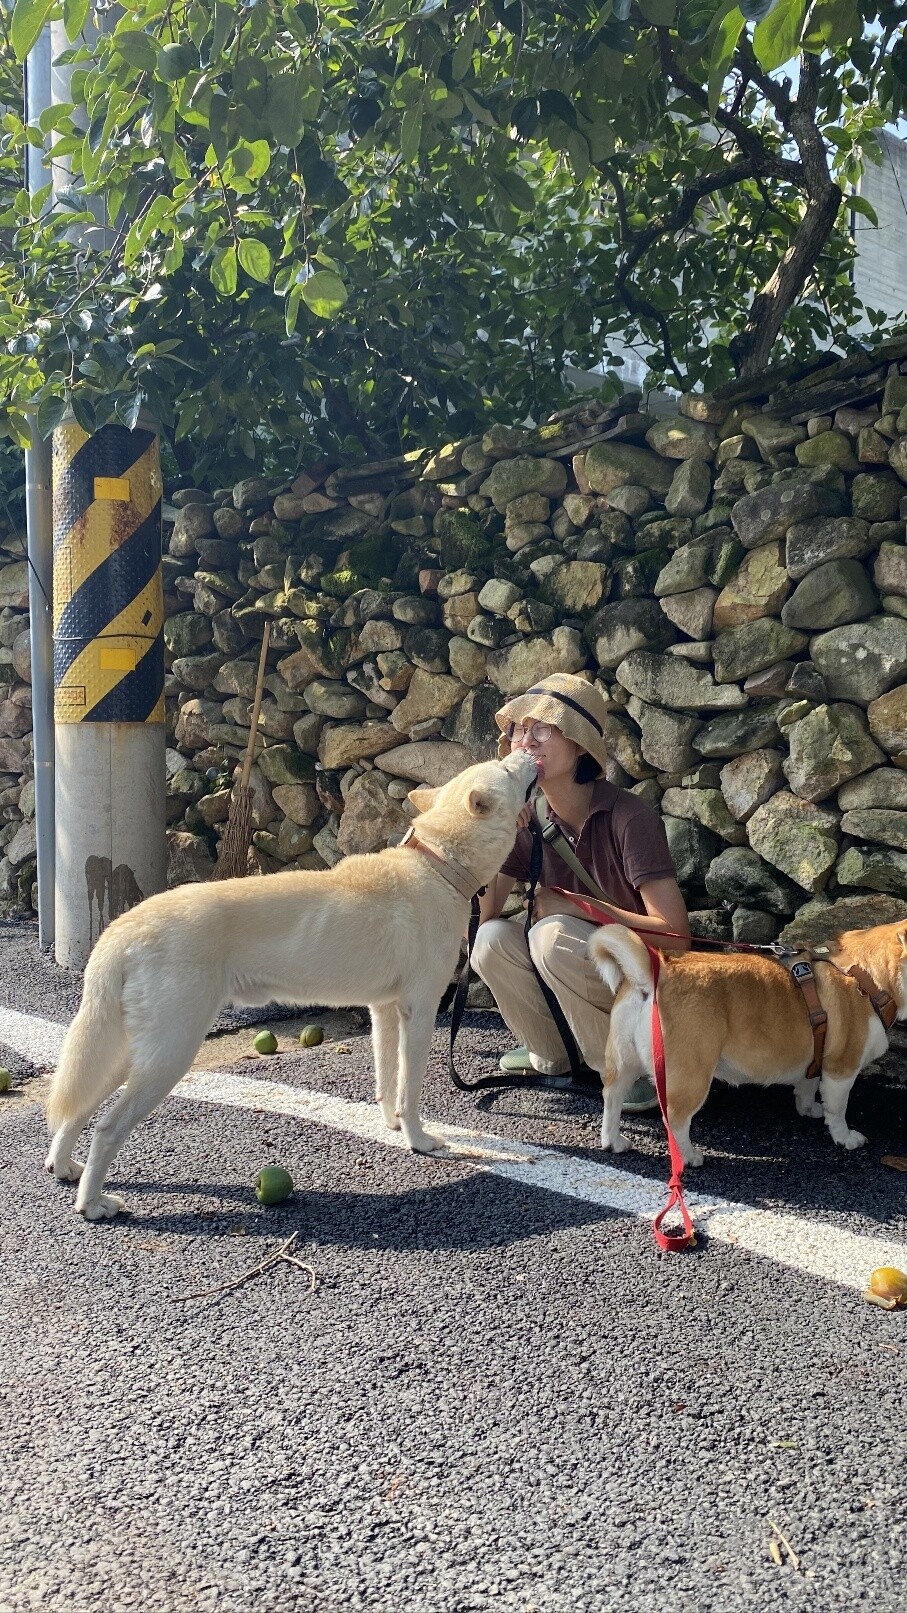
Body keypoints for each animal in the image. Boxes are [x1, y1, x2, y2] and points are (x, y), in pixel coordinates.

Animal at [44, 748, 535, 1212]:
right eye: (505, 769)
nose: (529, 750)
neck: (436, 865)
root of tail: (125, 927)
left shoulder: (385, 1011)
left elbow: (387, 1079)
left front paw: (392, 1125)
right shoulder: (420, 1010)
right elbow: (410, 1087)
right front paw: (417, 1139)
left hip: (130, 1052)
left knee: (76, 1110)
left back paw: (64, 1166)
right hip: (169, 1052)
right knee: (107, 1127)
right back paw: (92, 1204)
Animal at [587, 929, 903, 1167]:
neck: (866, 976)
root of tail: (656, 971)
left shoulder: (816, 1061)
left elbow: (807, 1088)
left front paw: (810, 1109)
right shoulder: (841, 1069)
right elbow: (837, 1110)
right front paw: (845, 1138)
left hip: (624, 1064)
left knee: (612, 1097)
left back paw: (613, 1141)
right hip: (692, 1076)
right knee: (675, 1120)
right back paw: (689, 1157)